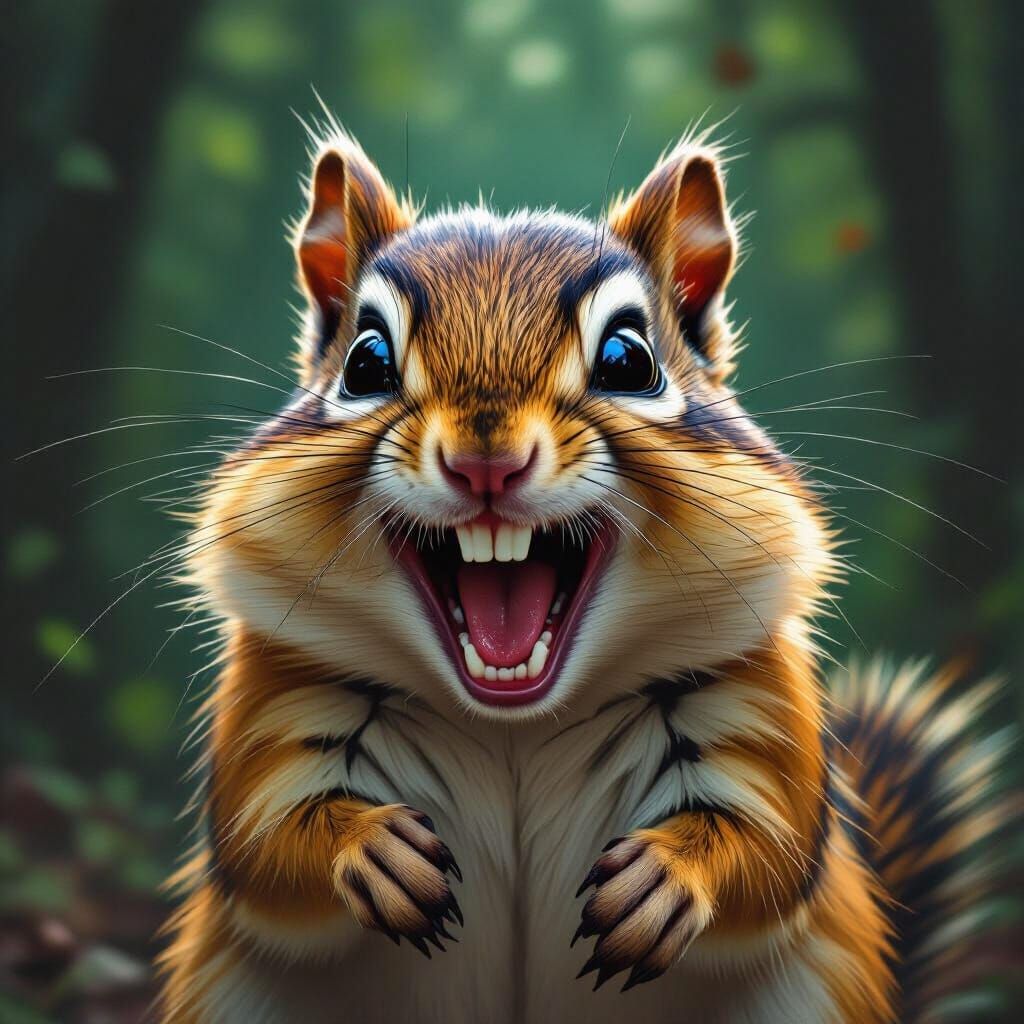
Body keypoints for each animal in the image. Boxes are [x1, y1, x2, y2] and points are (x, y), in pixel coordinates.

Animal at [155, 119, 1012, 1024]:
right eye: (365, 364)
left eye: (629, 360)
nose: (486, 462)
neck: (514, 727)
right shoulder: (277, 701)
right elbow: (263, 838)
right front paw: (372, 848)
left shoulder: (756, 705)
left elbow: (770, 850)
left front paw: (665, 878)